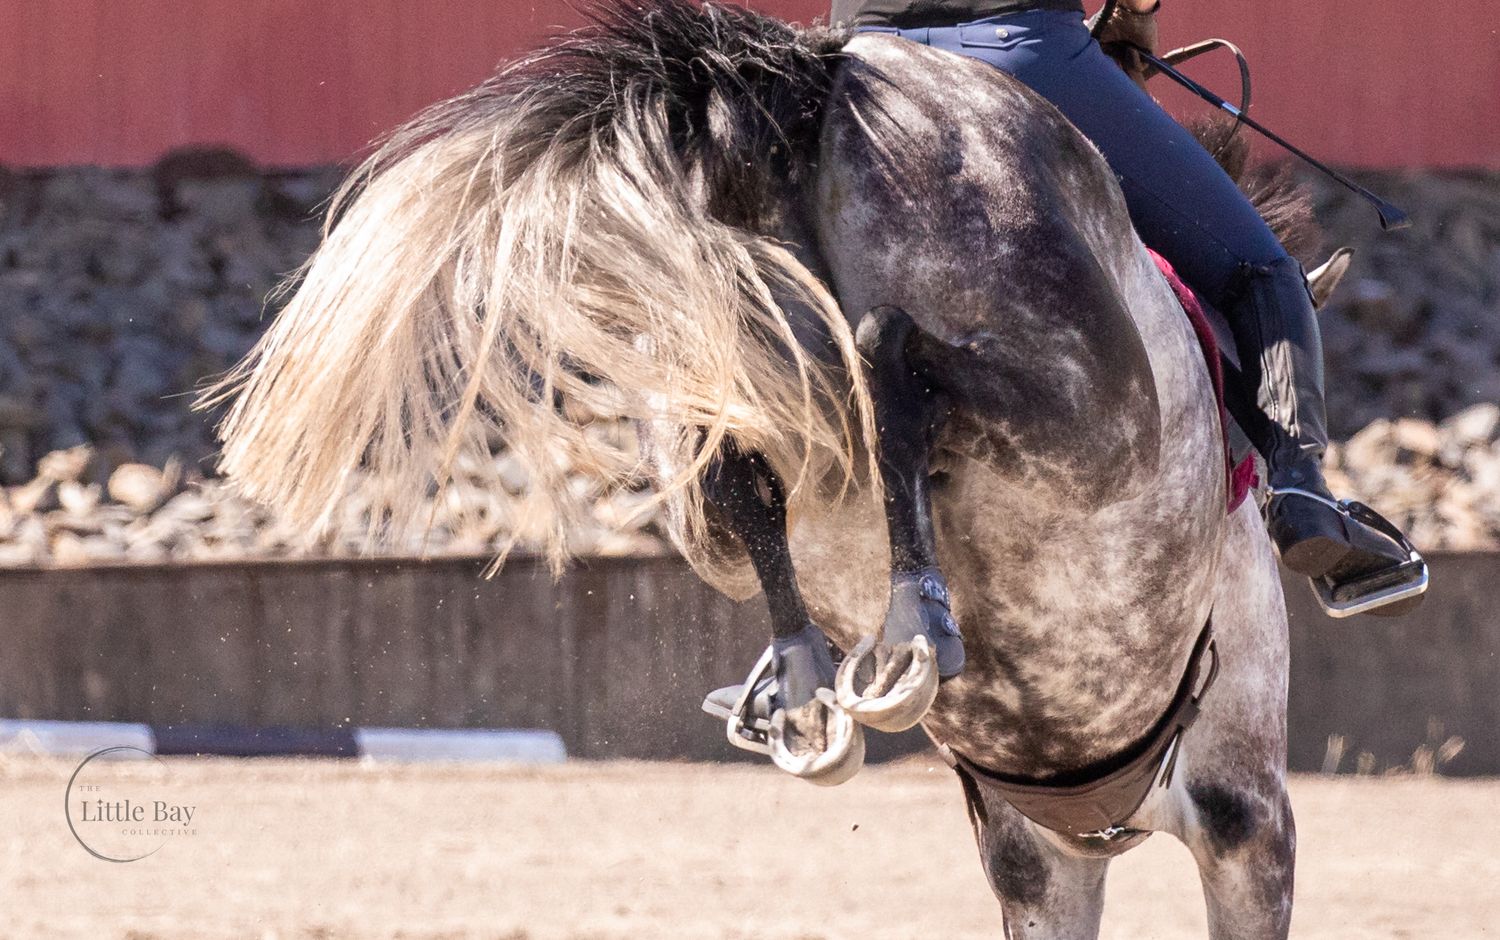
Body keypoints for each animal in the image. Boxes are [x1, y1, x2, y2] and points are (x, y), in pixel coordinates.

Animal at [205, 2, 1342, 935]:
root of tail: (820, 78)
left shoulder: (1052, 853)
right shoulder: (1245, 823)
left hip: (706, 401)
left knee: (751, 462)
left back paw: (813, 670)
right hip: (1091, 419)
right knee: (895, 371)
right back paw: (912, 615)